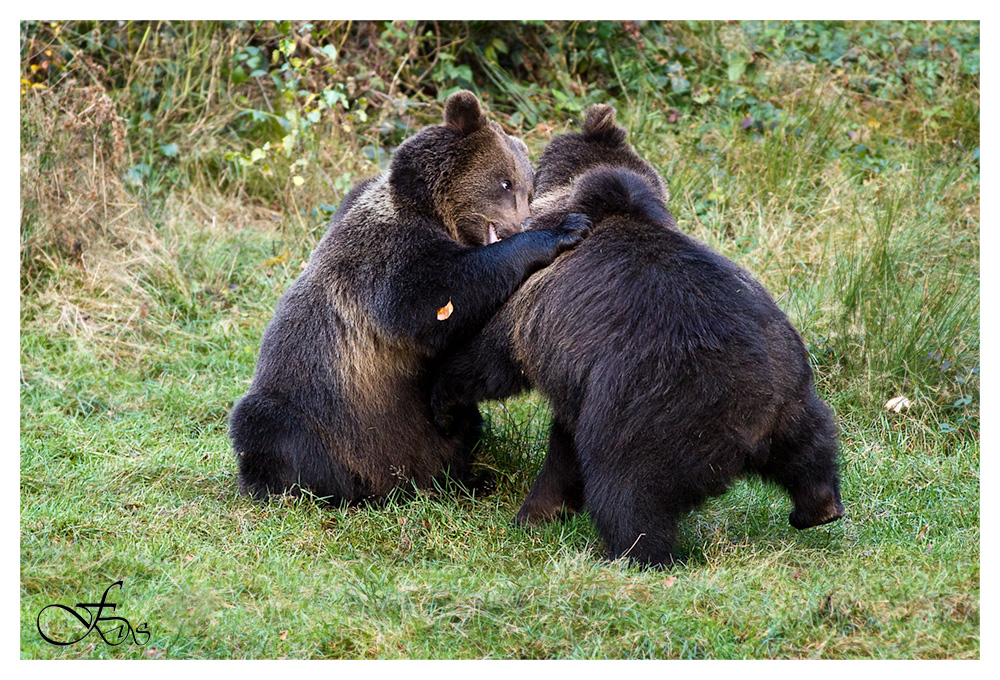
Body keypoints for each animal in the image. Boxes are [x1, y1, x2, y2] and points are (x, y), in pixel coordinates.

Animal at [229, 90, 588, 502]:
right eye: (504, 183)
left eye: (528, 188)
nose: (524, 221)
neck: (434, 212)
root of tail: (396, 482)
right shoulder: (387, 254)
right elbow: (429, 301)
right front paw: (564, 229)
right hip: (321, 417)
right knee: (268, 429)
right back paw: (322, 490)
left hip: (426, 438)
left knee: (461, 430)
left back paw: (470, 479)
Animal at [434, 103, 848, 564]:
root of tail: (749, 427)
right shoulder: (577, 373)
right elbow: (563, 444)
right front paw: (543, 511)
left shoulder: (533, 303)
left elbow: (489, 360)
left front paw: (444, 399)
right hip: (791, 384)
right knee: (811, 445)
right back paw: (818, 507)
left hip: (653, 410)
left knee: (627, 490)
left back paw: (631, 553)